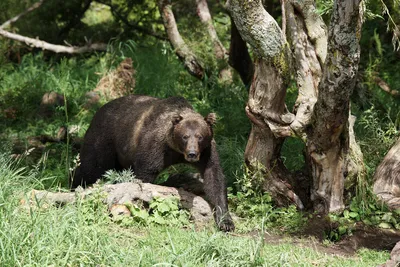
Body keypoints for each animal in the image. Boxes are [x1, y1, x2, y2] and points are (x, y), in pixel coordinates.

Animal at [71, 94, 234, 232]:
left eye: (200, 136)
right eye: (185, 136)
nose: (192, 154)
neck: (176, 150)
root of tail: (100, 109)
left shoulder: (207, 152)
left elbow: (214, 178)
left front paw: (226, 222)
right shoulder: (156, 146)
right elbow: (145, 174)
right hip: (105, 139)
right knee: (91, 166)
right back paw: (75, 185)